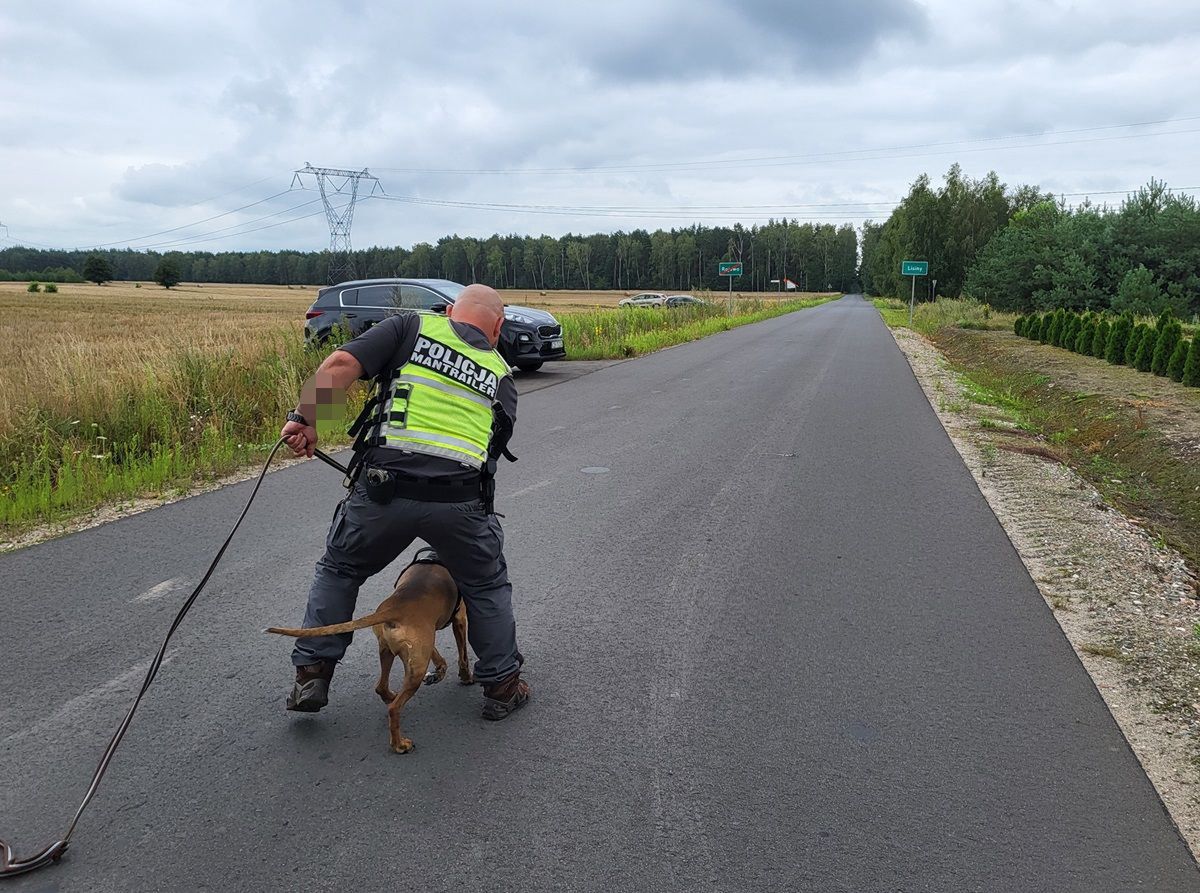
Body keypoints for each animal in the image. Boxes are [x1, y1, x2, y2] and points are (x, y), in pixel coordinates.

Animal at [268, 556, 472, 753]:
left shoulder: (428, 640)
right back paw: (399, 745)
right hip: (415, 667)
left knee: (380, 686)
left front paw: (439, 671)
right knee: (394, 709)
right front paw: (466, 677)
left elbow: (438, 656)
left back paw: (390, 697)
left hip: (391, 651)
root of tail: (395, 608)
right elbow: (463, 656)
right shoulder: (460, 619)